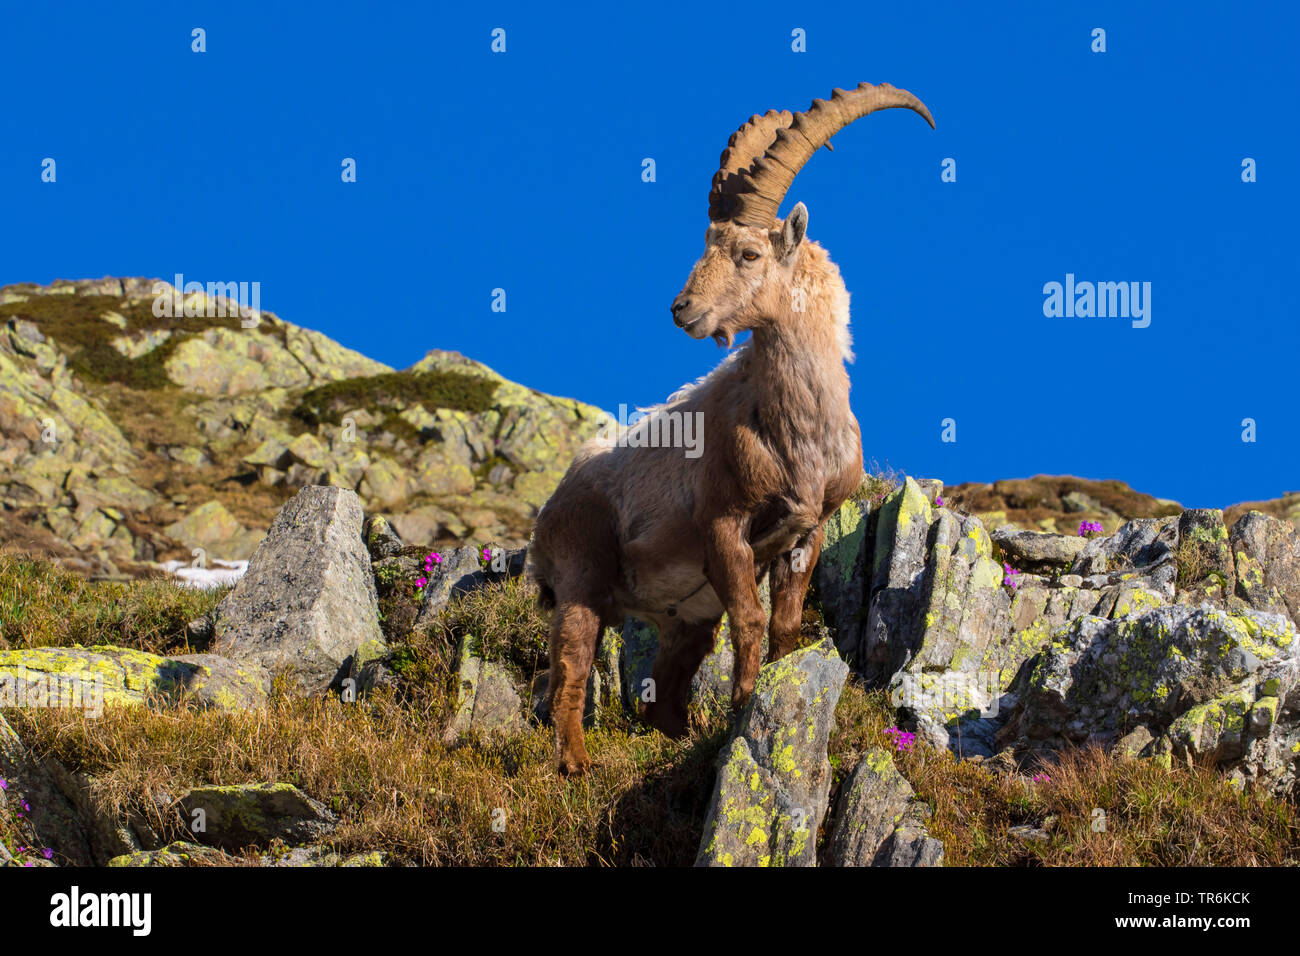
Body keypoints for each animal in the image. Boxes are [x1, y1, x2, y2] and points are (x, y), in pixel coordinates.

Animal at [529, 83, 934, 775]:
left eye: (747, 252)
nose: (681, 309)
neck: (799, 433)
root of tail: (548, 507)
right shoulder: (723, 525)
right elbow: (748, 619)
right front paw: (742, 709)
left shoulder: (809, 529)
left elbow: (784, 625)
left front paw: (776, 692)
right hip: (580, 576)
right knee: (570, 670)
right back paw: (576, 765)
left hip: (684, 617)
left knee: (662, 696)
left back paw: (677, 740)